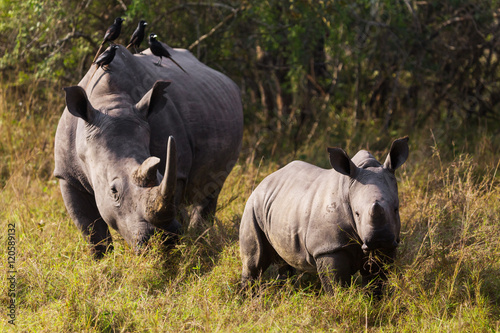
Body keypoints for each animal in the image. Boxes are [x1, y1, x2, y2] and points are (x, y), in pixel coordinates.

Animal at [54, 44, 242, 256]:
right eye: (113, 191)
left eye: (160, 175)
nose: (163, 239)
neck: (109, 101)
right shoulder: (67, 176)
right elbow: (92, 232)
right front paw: (103, 262)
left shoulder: (177, 173)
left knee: (213, 185)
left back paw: (201, 237)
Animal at [240, 137, 408, 294]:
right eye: (357, 214)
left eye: (396, 209)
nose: (379, 240)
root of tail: (265, 179)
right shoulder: (328, 248)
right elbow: (336, 285)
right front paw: (341, 301)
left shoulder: (389, 244)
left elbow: (376, 281)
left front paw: (373, 301)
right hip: (253, 205)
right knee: (254, 262)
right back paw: (248, 296)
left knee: (284, 261)